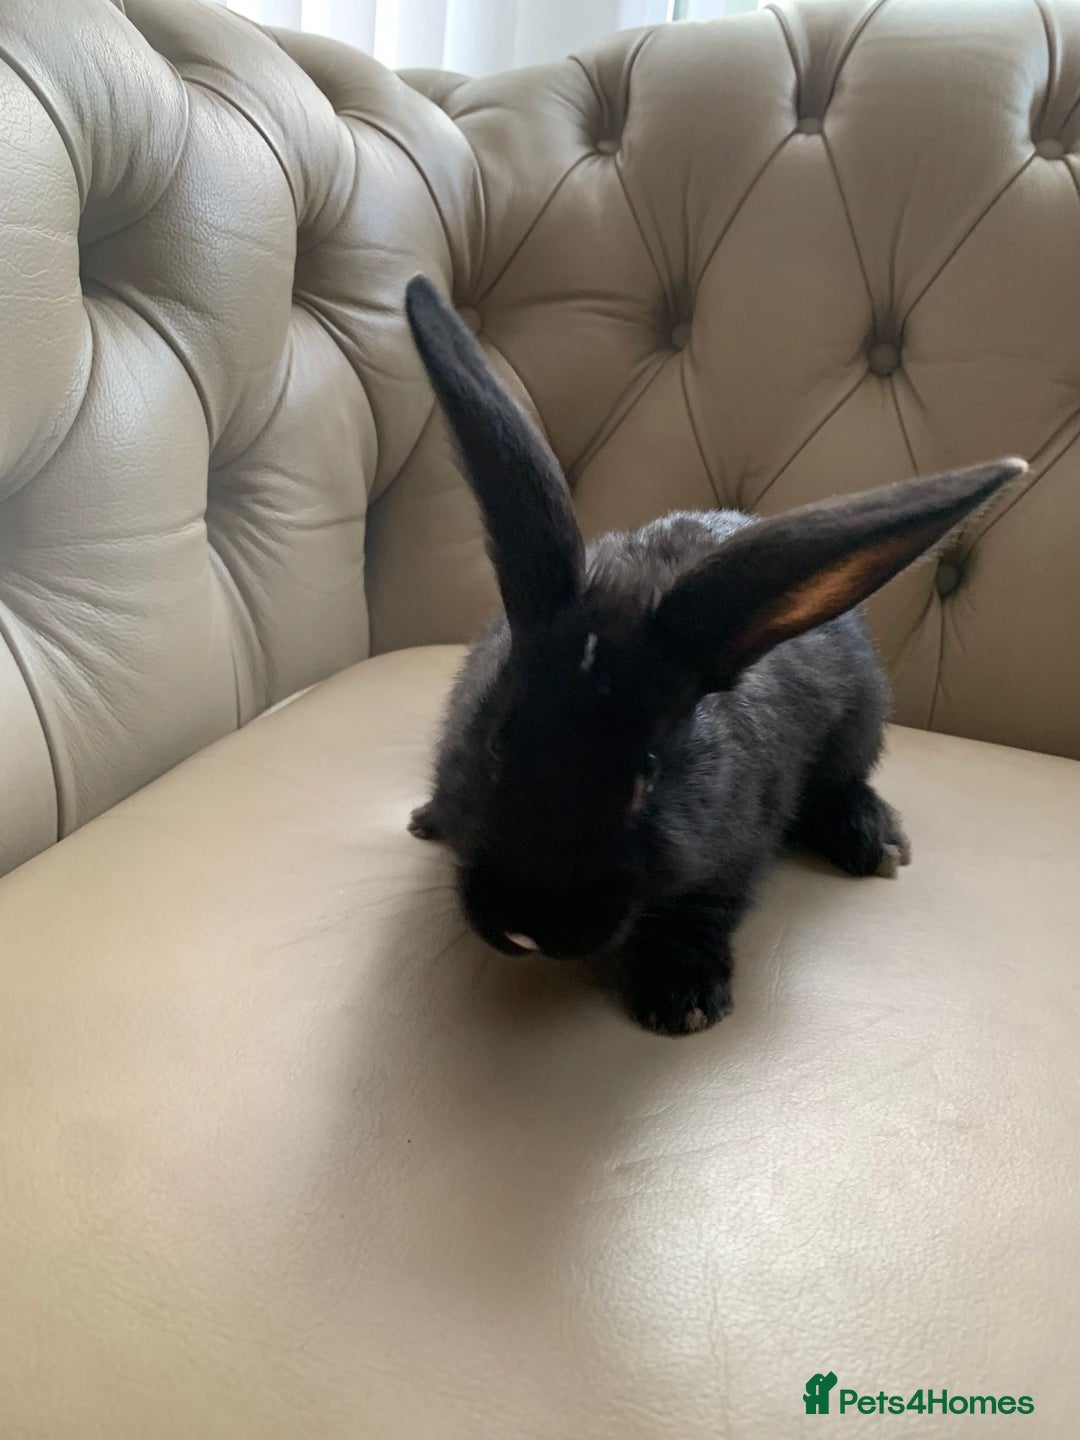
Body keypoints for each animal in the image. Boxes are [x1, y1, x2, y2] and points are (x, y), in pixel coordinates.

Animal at [403, 274, 1026, 1036]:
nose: (529, 926)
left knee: (846, 781)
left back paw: (874, 841)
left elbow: (708, 904)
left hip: (860, 724)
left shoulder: (739, 842)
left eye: (647, 772)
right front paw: (434, 818)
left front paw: (686, 1000)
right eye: (497, 741)